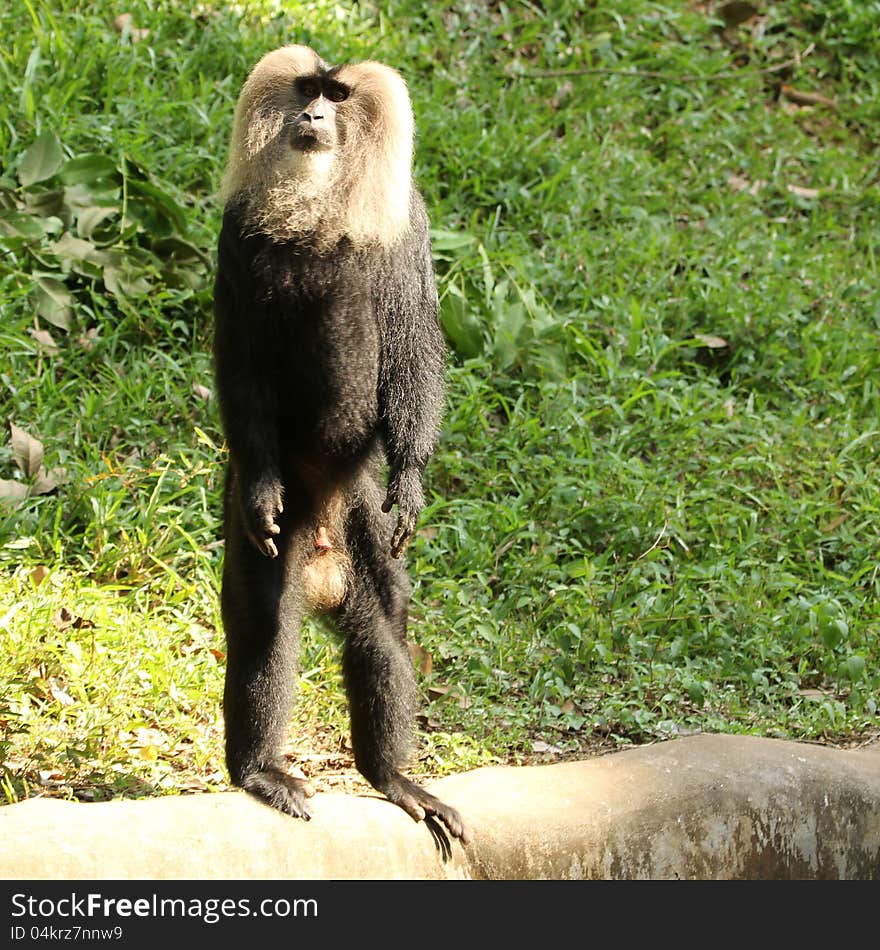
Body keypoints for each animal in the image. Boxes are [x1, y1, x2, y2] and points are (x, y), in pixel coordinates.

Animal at [211, 46, 468, 840]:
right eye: (306, 90)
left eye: (337, 95)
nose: (312, 115)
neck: (319, 204)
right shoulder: (235, 237)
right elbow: (242, 360)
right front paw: (262, 483)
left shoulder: (408, 228)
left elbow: (414, 340)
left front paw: (410, 479)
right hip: (279, 538)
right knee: (266, 626)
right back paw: (260, 772)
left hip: (361, 532)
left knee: (380, 633)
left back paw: (391, 777)